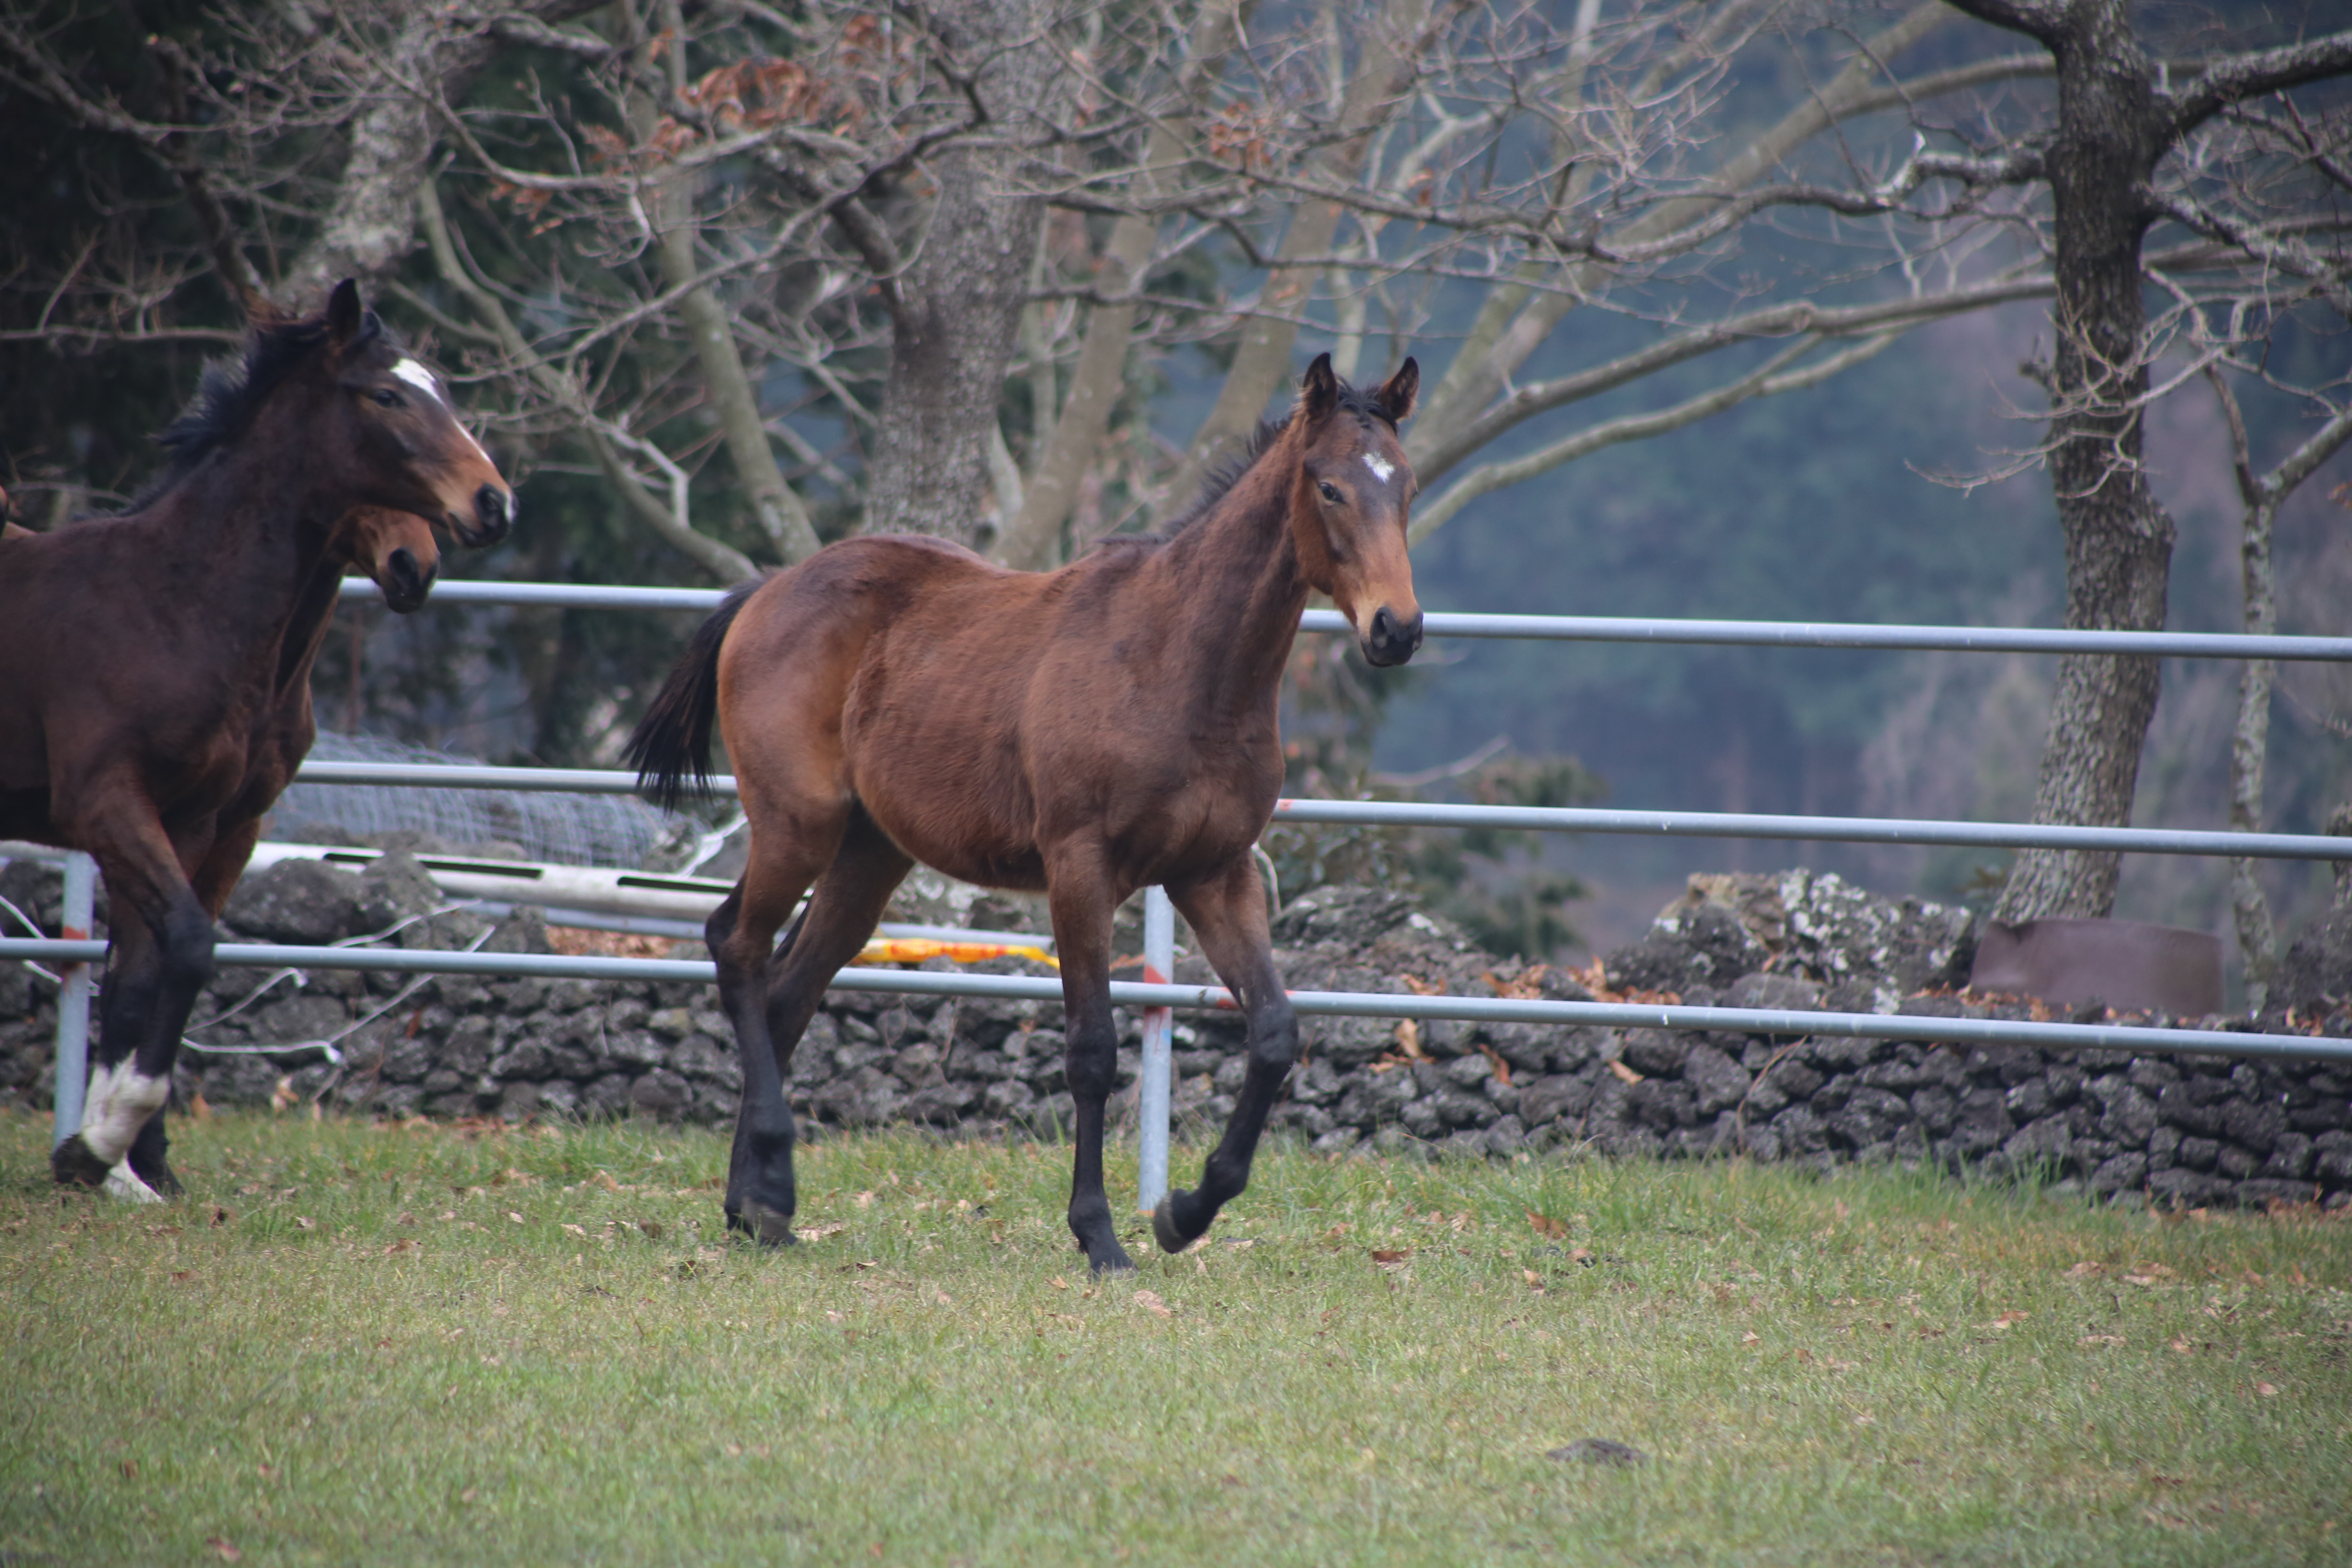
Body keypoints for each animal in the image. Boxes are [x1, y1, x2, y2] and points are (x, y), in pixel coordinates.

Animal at [0, 282, 512, 1194]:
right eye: (386, 396)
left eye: (444, 393)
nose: (493, 505)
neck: (170, 602)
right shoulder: (105, 804)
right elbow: (187, 948)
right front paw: (107, 1150)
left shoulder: (204, 820)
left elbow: (145, 976)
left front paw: (111, 1159)